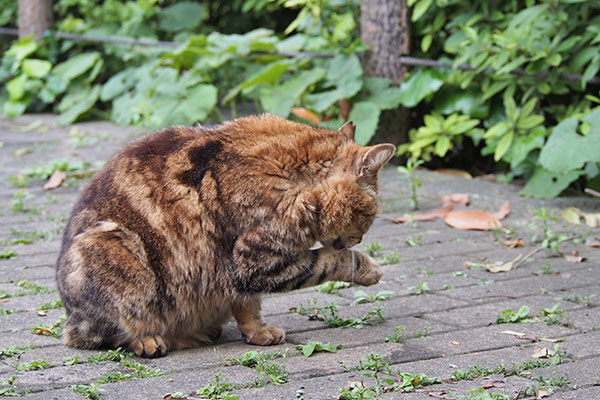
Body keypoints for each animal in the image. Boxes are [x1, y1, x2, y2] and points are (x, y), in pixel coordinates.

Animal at [55, 114, 394, 358]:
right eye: (369, 216)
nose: (359, 239)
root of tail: (72, 320)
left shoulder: (240, 274)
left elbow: (248, 306)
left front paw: (257, 332)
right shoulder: (255, 260)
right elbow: (330, 261)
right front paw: (369, 268)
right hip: (114, 247)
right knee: (110, 333)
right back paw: (149, 340)